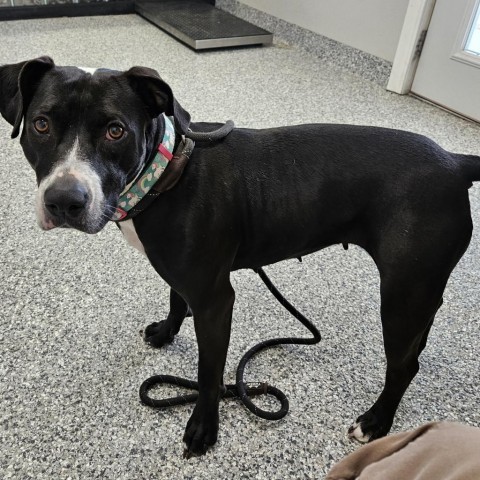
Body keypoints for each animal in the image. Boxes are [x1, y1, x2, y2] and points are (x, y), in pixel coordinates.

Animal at [0, 55, 480, 454]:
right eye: (40, 124)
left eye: (115, 130)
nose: (64, 200)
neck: (167, 173)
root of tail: (456, 163)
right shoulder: (184, 277)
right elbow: (175, 298)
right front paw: (167, 332)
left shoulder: (215, 300)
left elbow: (209, 372)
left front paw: (203, 428)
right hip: (420, 293)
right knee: (414, 352)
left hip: (401, 297)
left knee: (402, 366)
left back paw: (375, 422)